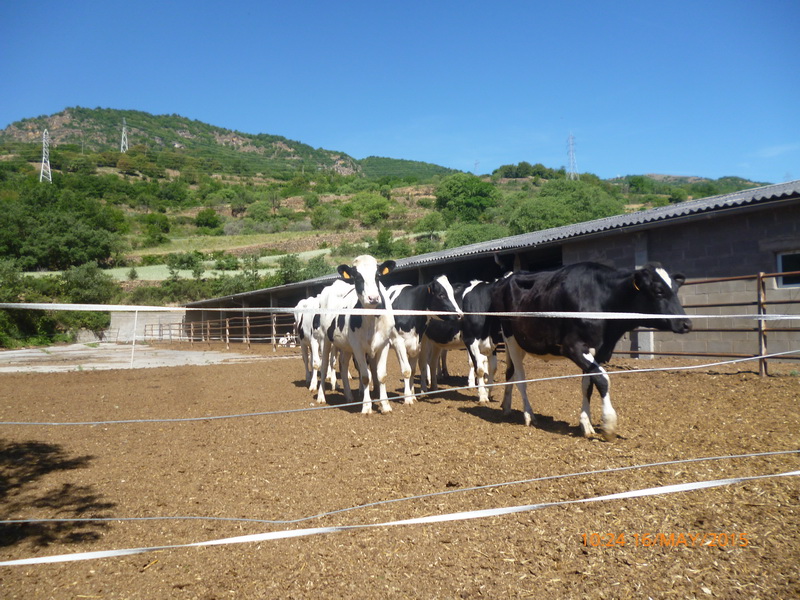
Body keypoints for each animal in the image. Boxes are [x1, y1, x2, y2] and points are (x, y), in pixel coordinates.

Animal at [316, 255, 397, 414]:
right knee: (324, 367)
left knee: (343, 365)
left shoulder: (384, 344)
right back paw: (321, 397)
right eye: (357, 277)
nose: (373, 298)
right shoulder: (358, 347)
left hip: (346, 346)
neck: (371, 320)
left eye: (377, 276)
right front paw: (366, 406)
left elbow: (381, 375)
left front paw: (385, 405)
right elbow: (365, 376)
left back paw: (348, 396)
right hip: (325, 339)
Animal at [491, 261, 692, 439]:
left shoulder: (600, 351)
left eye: (676, 290)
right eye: (658, 291)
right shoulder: (573, 347)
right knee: (520, 377)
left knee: (510, 372)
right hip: (511, 338)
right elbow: (603, 379)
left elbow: (588, 385)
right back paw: (528, 414)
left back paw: (506, 406)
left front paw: (586, 424)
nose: (687, 323)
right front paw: (609, 424)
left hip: (518, 343)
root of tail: (509, 276)